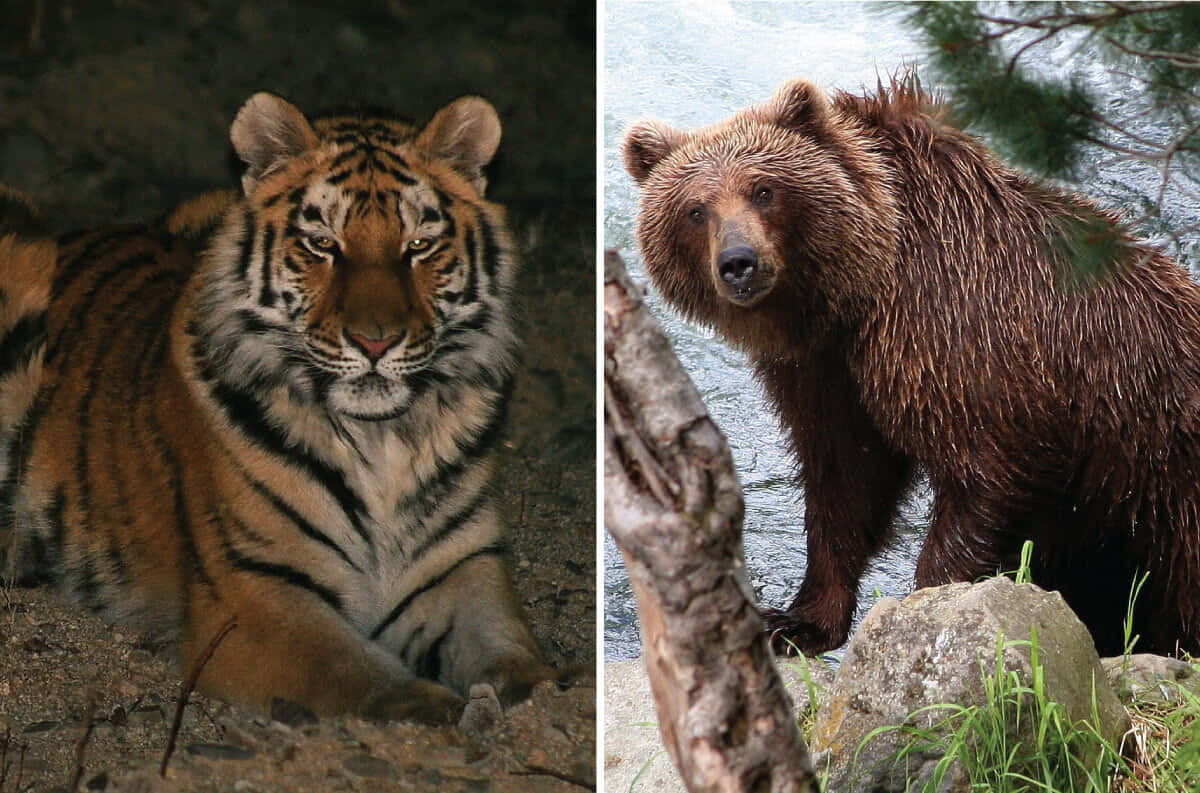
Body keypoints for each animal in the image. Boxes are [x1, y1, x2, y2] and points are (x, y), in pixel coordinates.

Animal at [0, 92, 557, 723]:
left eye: (418, 245)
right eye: (323, 244)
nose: (375, 342)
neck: (384, 440)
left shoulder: (463, 566)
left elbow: (509, 647)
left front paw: (546, 699)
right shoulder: (252, 596)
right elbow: (356, 672)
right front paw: (433, 711)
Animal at [622, 76, 1200, 658]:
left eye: (763, 189)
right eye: (696, 209)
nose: (739, 262)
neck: (864, 287)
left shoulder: (968, 336)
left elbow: (983, 474)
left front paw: (928, 607)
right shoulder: (825, 368)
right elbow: (845, 478)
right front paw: (796, 622)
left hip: (1162, 474)